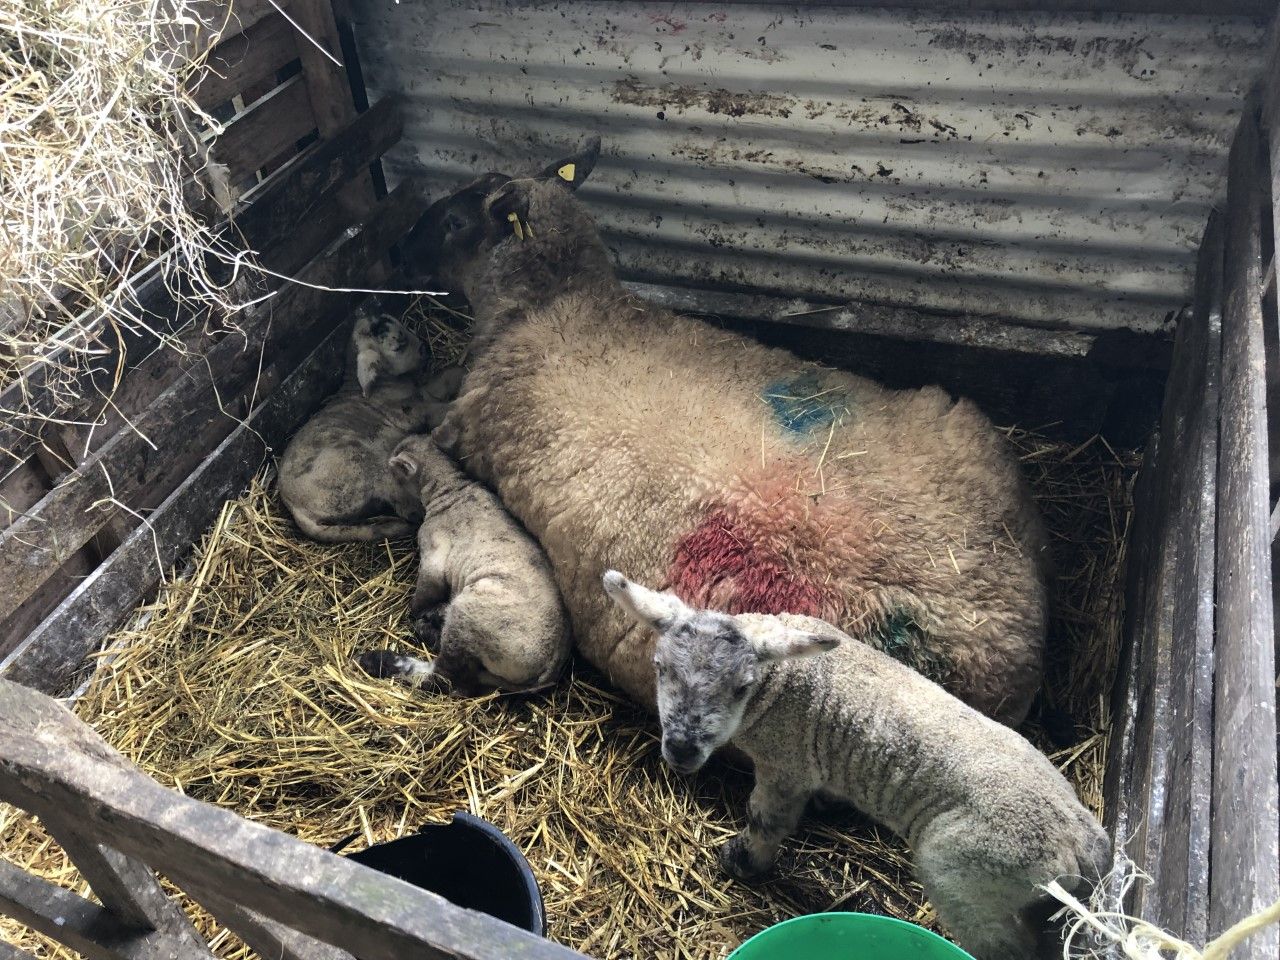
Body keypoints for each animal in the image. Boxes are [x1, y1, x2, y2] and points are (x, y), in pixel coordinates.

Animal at [278, 307, 462, 543]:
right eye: (399, 345)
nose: (426, 349)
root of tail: (295, 509)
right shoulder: (415, 413)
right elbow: (440, 410)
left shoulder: (422, 392)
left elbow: (445, 379)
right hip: (362, 466)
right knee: (406, 507)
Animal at [353, 434, 570, 695]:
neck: (451, 488)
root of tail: (548, 670)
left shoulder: (433, 551)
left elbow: (422, 595)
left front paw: (416, 613)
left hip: (471, 617)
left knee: (444, 678)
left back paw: (382, 658)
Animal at [602, 569, 1109, 960]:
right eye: (660, 667)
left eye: (741, 687)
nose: (682, 750)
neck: (782, 680)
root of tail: (1085, 841)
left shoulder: (785, 765)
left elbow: (767, 820)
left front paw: (743, 862)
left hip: (969, 875)